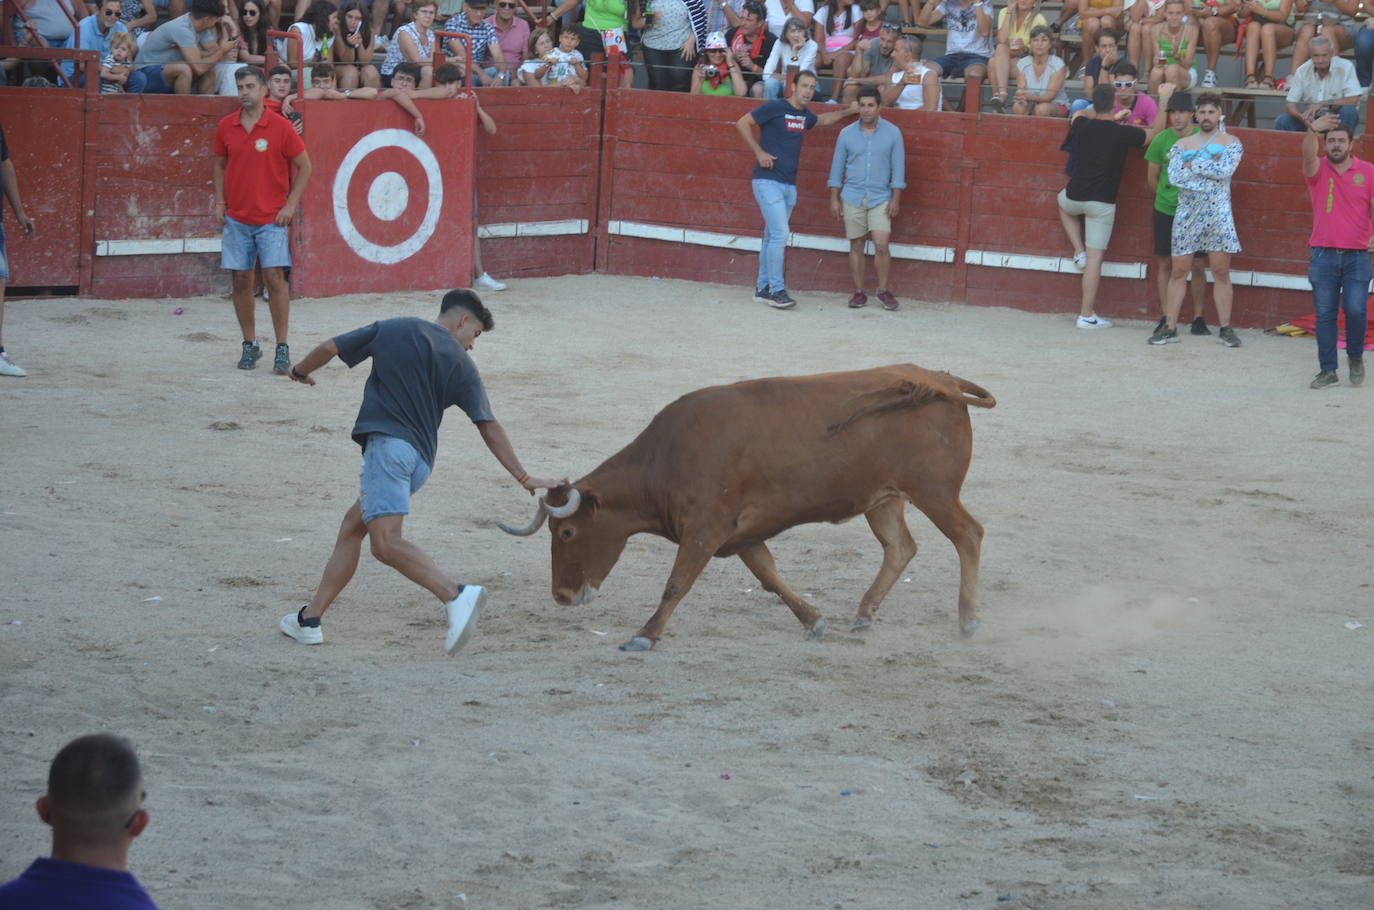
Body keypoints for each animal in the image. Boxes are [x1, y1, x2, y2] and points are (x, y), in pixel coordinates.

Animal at [500, 368, 994, 651]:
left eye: (566, 533)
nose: (561, 597)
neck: (665, 459)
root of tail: (944, 382)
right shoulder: (742, 536)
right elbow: (770, 578)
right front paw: (814, 622)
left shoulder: (705, 530)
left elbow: (676, 584)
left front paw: (644, 635)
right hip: (884, 498)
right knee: (900, 547)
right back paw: (864, 614)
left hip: (934, 491)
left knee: (968, 534)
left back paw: (969, 619)